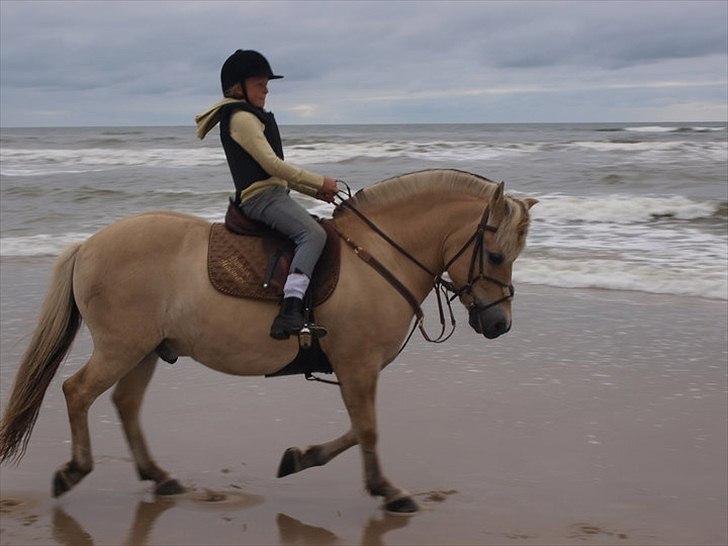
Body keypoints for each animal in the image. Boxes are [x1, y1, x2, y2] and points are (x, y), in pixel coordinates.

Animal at [0, 167, 536, 510]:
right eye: (494, 255)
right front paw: (389, 491)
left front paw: (300, 458)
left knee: (126, 405)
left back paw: (160, 477)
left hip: (145, 350)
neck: (376, 257)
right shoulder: (357, 364)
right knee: (77, 392)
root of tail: (88, 245)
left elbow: (356, 429)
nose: (499, 323)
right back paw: (74, 470)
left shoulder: (353, 368)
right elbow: (367, 429)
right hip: (121, 347)